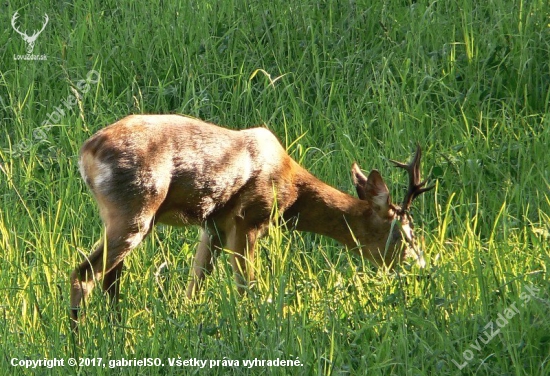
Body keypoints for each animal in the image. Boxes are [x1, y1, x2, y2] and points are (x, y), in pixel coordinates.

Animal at [70, 114, 436, 328]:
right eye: (404, 232)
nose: (421, 265)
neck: (293, 190)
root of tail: (87, 152)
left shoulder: (214, 226)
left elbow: (195, 283)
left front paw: (186, 319)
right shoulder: (249, 220)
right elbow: (247, 286)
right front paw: (255, 326)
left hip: (125, 215)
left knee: (110, 278)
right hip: (137, 209)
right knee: (84, 274)